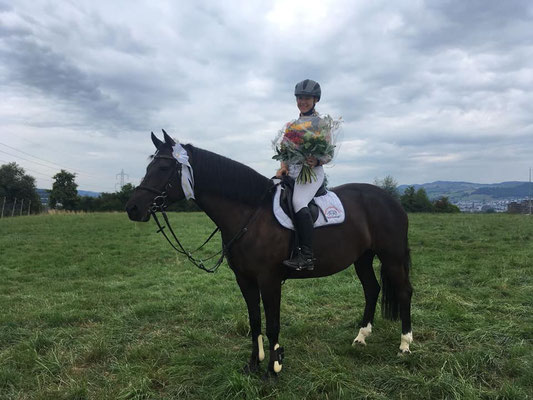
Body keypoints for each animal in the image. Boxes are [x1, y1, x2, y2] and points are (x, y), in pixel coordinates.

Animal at [124, 132, 412, 378]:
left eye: (163, 168)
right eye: (149, 167)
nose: (132, 208)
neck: (252, 214)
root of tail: (391, 199)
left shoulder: (269, 280)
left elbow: (273, 323)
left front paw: (273, 369)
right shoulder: (245, 279)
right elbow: (254, 321)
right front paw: (253, 364)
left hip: (392, 256)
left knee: (403, 292)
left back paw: (405, 345)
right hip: (362, 258)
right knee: (372, 289)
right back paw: (361, 337)